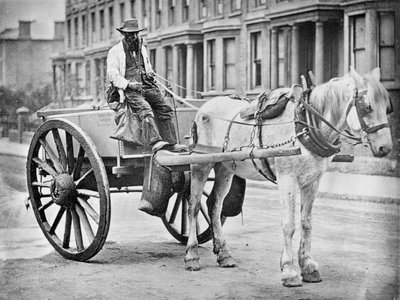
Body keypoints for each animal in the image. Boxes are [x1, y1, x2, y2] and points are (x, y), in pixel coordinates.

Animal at [185, 67, 394, 286]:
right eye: (368, 106)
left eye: (388, 107)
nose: (385, 148)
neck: (306, 126)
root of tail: (203, 108)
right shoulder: (287, 178)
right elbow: (289, 224)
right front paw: (289, 270)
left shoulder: (313, 181)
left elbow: (306, 222)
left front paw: (308, 266)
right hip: (200, 164)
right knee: (193, 206)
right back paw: (192, 255)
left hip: (225, 166)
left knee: (214, 205)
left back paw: (224, 253)